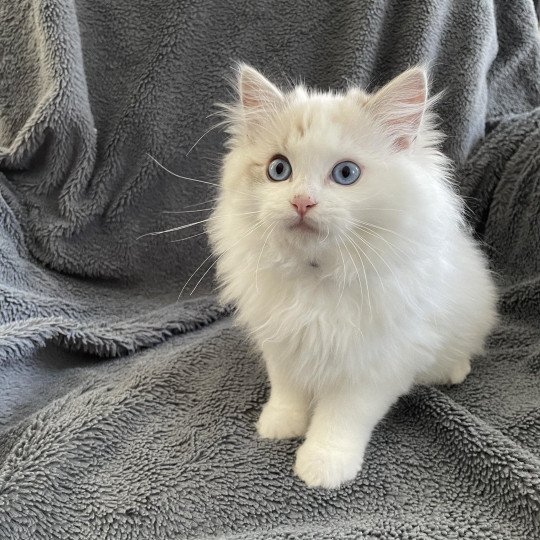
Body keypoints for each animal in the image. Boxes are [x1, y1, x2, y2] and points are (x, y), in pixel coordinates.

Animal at [208, 64, 498, 490]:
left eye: (346, 173)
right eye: (279, 169)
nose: (302, 202)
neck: (316, 274)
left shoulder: (372, 362)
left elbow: (340, 418)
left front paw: (322, 465)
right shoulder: (281, 341)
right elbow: (287, 389)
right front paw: (280, 425)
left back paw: (453, 371)